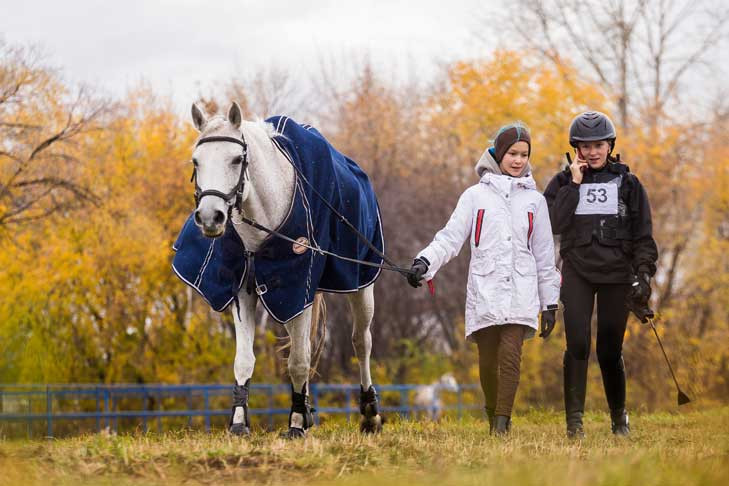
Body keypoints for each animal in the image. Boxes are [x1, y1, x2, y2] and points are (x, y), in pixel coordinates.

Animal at [188, 101, 384, 436]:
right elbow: (245, 359)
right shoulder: (247, 291)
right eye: (196, 161)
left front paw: (294, 422)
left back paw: (369, 413)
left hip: (361, 287)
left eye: (236, 159)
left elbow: (299, 361)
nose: (211, 217)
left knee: (361, 342)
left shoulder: (297, 286)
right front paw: (239, 421)